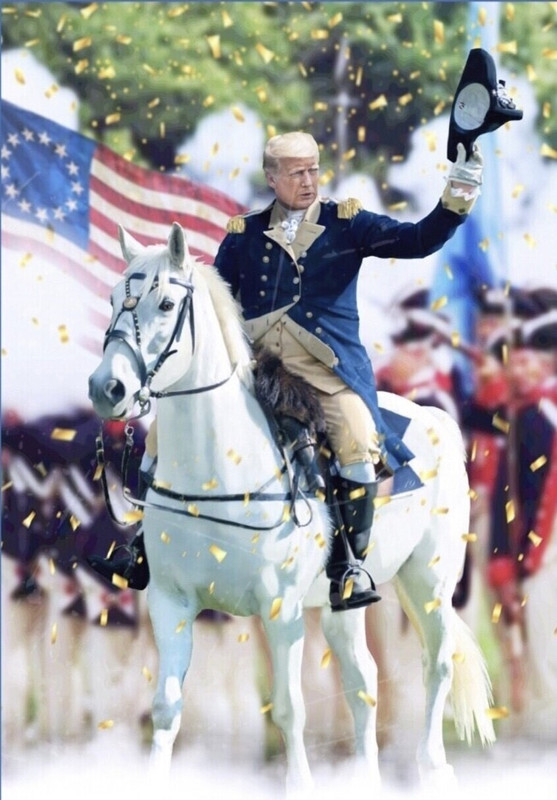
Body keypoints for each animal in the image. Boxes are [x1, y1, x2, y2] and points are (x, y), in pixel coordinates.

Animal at [88, 221, 495, 797]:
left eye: (165, 302)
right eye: (110, 300)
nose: (108, 388)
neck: (219, 468)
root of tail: (435, 417)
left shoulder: (280, 613)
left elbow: (287, 710)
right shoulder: (170, 602)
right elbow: (166, 706)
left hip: (431, 583)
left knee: (436, 664)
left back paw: (433, 767)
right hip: (344, 602)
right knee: (363, 679)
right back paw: (366, 777)